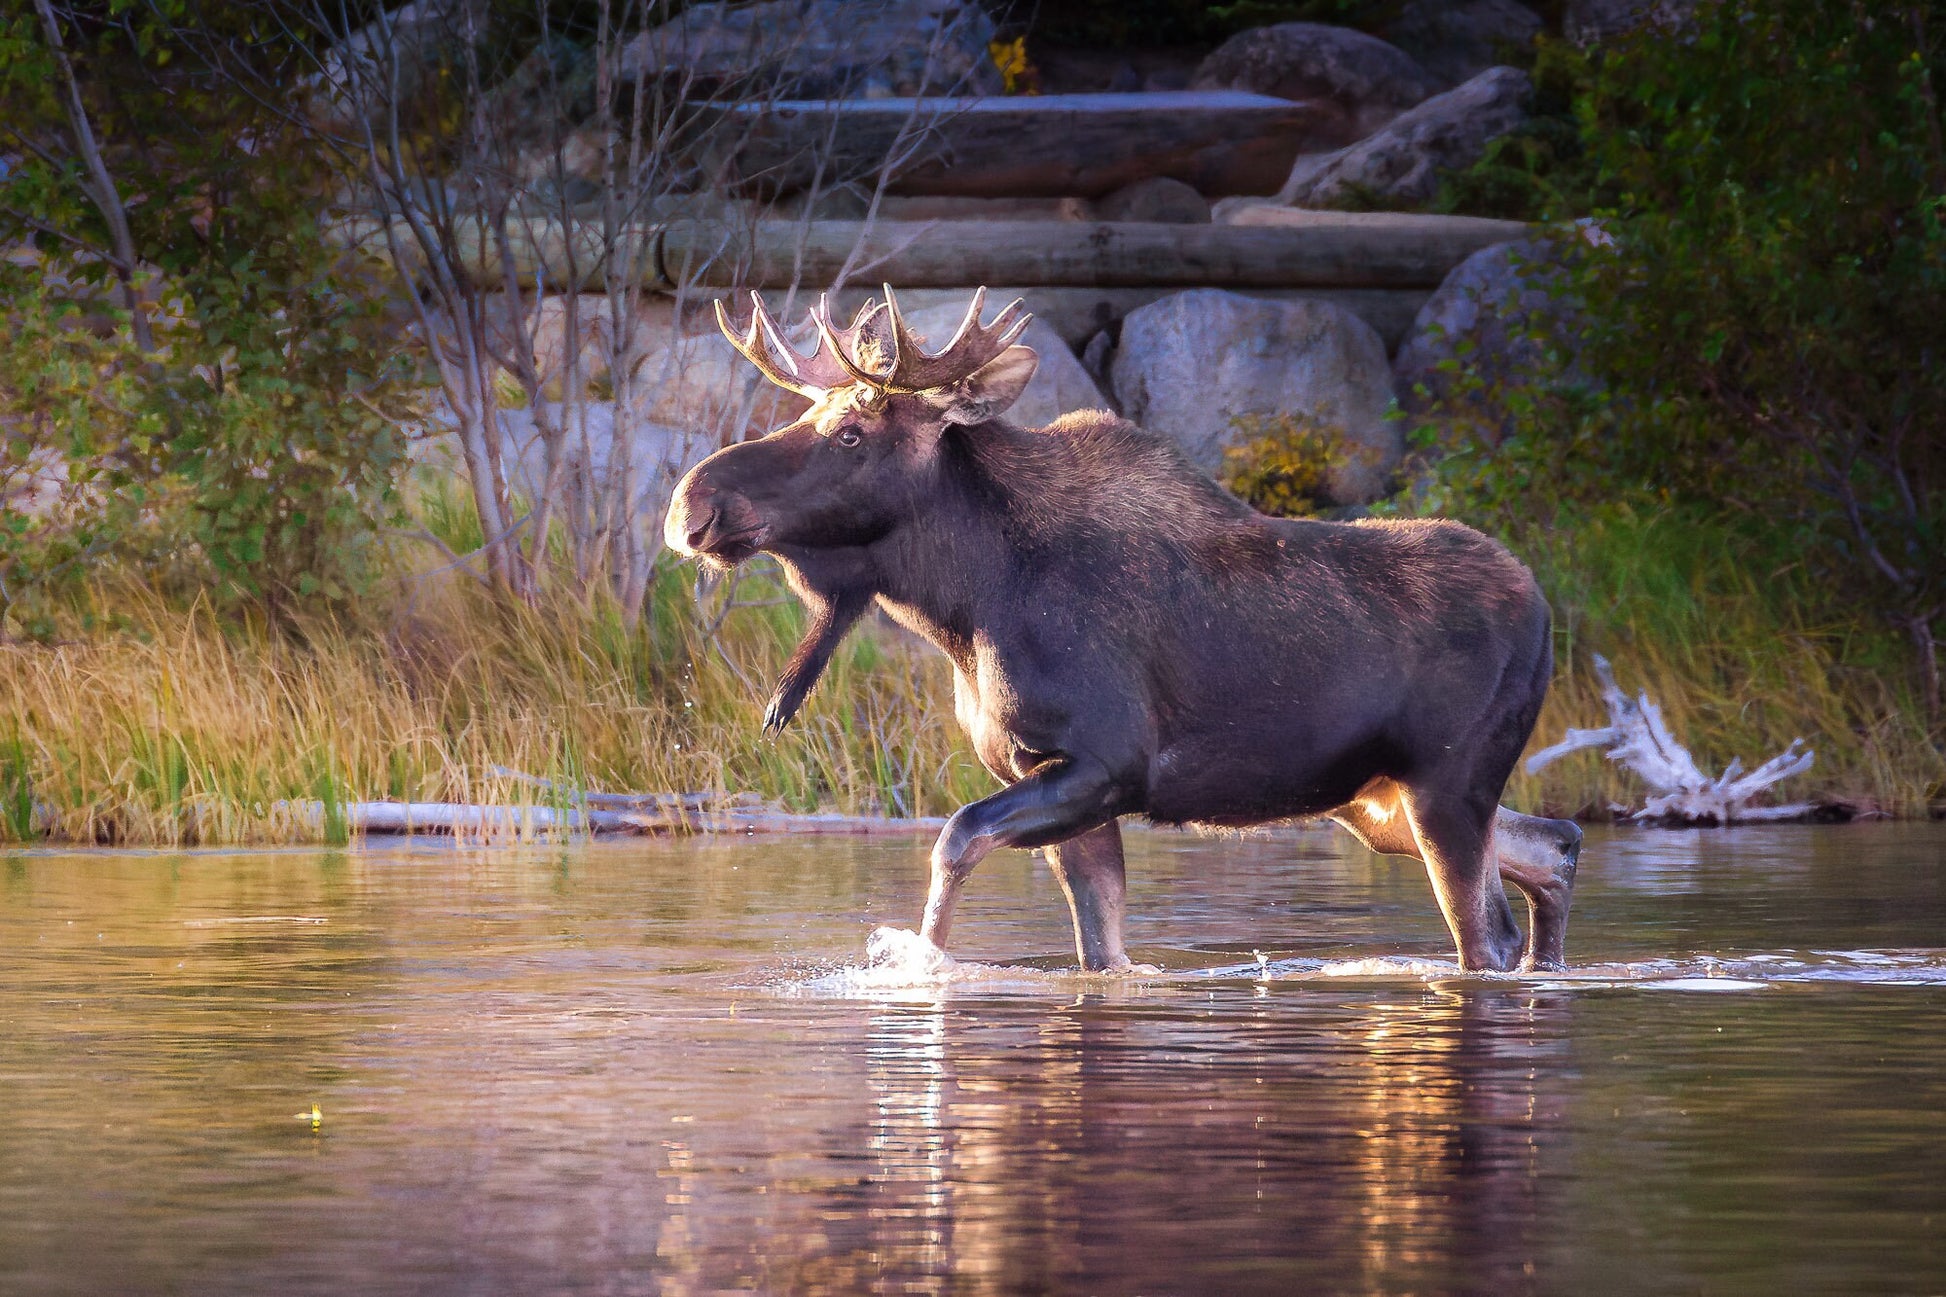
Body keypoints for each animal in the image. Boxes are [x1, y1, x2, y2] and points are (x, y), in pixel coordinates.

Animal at [669, 286, 1580, 969]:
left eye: (852, 432)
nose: (691, 505)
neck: (966, 605)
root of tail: (1545, 610)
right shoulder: (1059, 778)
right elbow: (1100, 949)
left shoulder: (1106, 763)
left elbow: (953, 839)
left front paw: (922, 966)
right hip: (1379, 801)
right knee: (1557, 844)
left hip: (1444, 785)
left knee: (1489, 936)